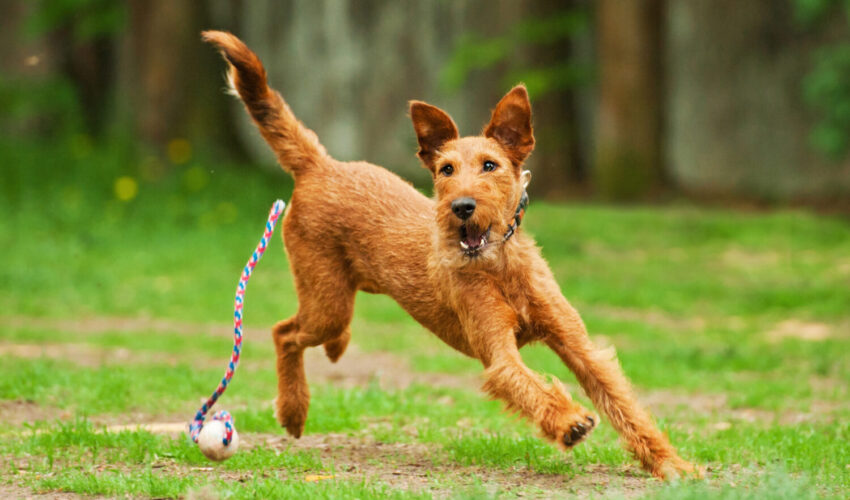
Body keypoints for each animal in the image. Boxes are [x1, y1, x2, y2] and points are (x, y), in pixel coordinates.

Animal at [202, 28, 692, 480]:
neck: (500, 267)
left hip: (339, 296)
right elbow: (528, 384)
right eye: (446, 170)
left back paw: (332, 356)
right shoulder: (498, 352)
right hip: (327, 301)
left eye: (491, 166)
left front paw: (674, 465)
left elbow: (625, 406)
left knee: (310, 330)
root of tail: (321, 164)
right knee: (284, 332)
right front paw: (569, 421)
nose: (461, 207)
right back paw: (293, 409)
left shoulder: (578, 345)